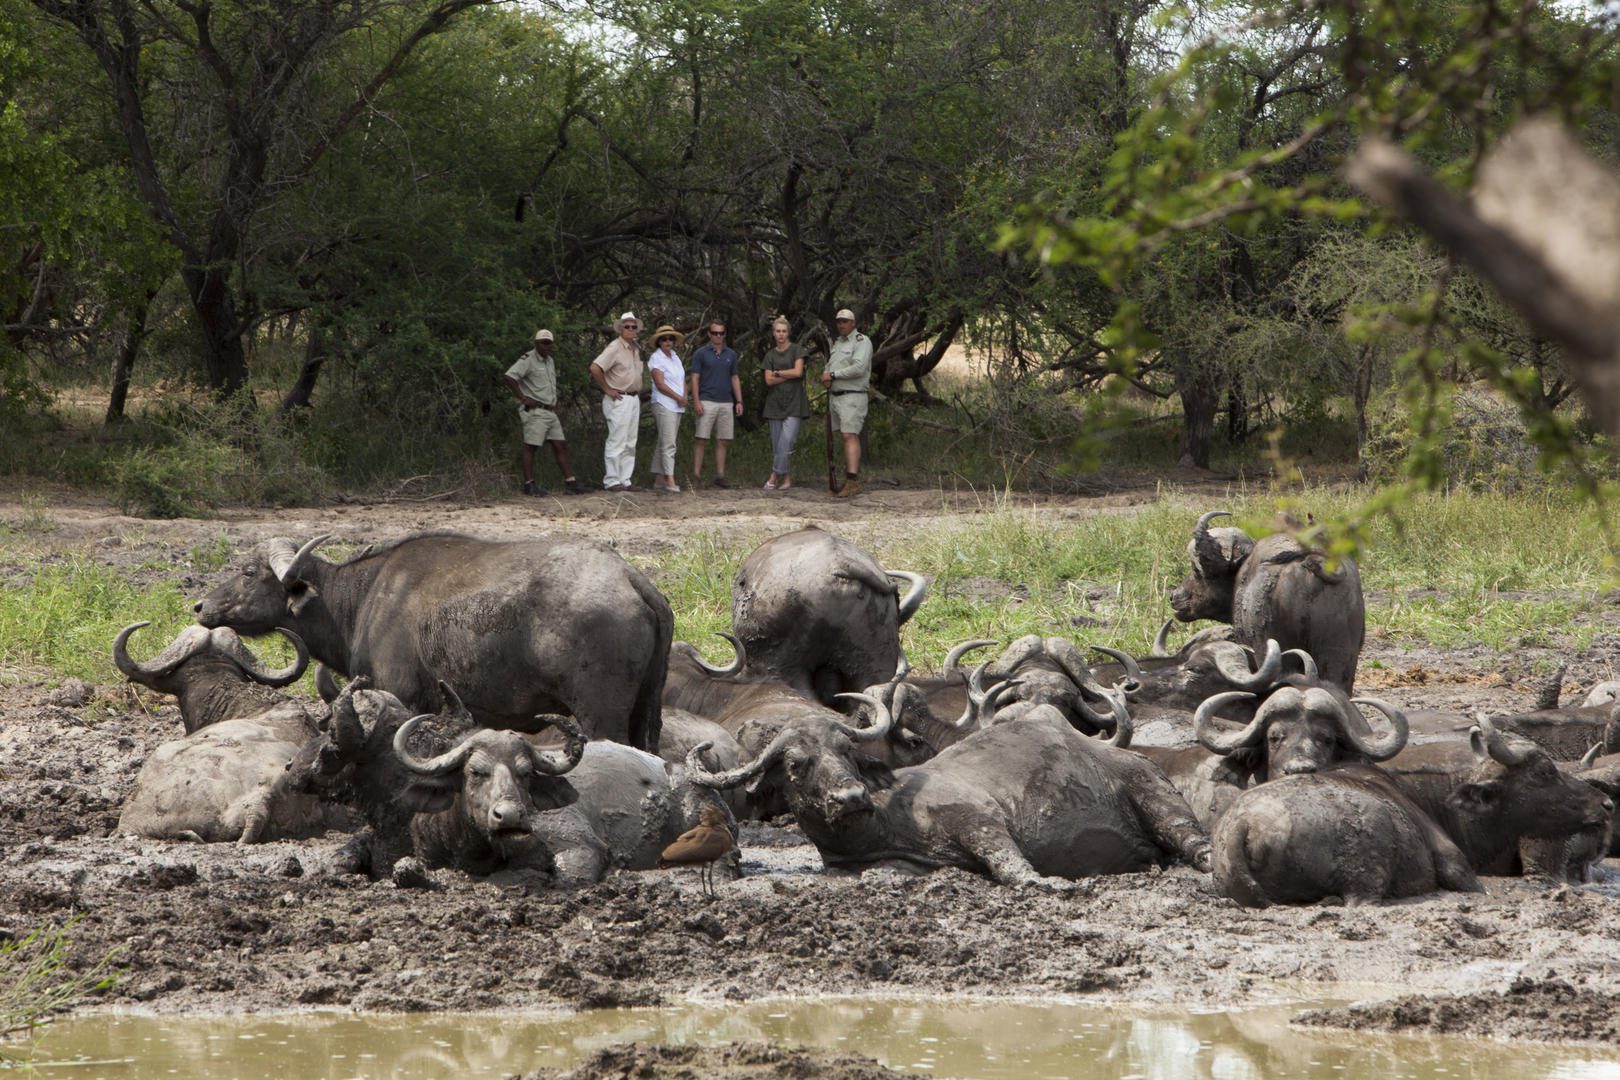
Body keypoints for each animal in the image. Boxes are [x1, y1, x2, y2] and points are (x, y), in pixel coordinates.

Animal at [194, 531, 670, 751]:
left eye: (248, 572)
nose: (201, 606)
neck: (363, 597)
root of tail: (631, 577)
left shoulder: (404, 697)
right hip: (648, 710)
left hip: (600, 714)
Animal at [683, 693, 1205, 887]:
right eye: (795, 764)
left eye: (847, 751)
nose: (850, 799)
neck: (886, 820)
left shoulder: (979, 819)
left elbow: (1009, 862)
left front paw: (1041, 881)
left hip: (1155, 794)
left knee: (1190, 838)